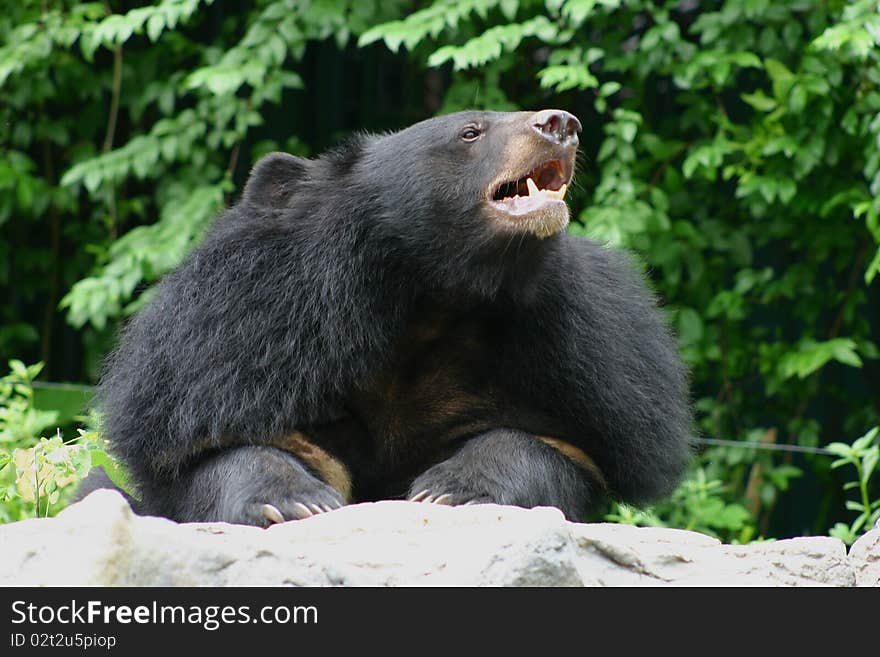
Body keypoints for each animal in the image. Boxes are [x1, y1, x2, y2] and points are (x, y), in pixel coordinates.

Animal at [94, 110, 696, 524]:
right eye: (471, 132)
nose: (562, 123)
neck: (431, 297)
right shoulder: (241, 336)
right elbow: (230, 444)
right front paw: (295, 502)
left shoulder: (590, 362)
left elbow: (551, 444)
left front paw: (452, 489)